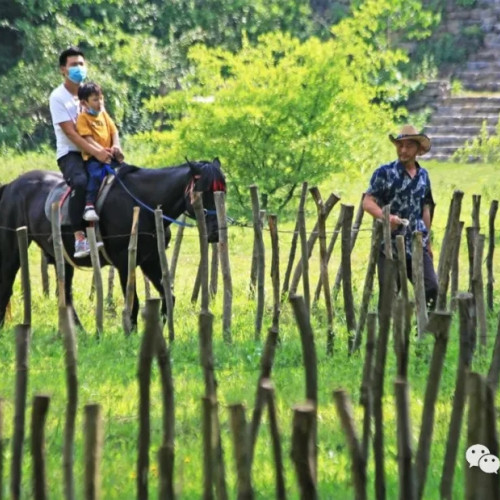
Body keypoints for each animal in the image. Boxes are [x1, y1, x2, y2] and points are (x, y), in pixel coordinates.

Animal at [0, 159, 225, 328]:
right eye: (204, 190)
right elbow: (133, 303)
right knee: (7, 284)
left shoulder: (150, 260)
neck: (143, 204)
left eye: (223, 190)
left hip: (61, 258)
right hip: (11, 250)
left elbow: (169, 296)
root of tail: (10, 186)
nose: (215, 232)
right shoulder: (124, 261)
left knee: (65, 296)